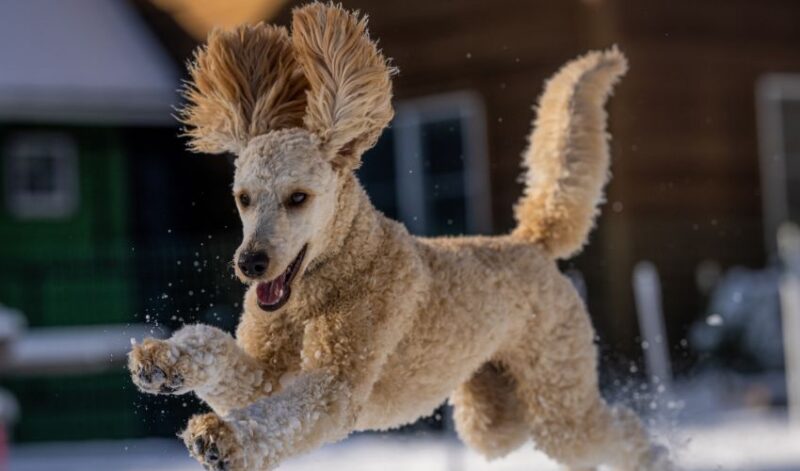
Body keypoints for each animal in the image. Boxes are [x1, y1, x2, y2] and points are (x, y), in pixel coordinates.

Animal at [130, 3, 668, 471]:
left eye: (298, 198)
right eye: (243, 197)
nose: (251, 264)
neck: (322, 285)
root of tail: (529, 241)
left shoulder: (334, 385)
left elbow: (280, 418)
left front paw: (223, 438)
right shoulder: (264, 373)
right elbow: (210, 344)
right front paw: (163, 361)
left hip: (557, 395)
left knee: (618, 429)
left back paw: (655, 457)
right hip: (493, 415)